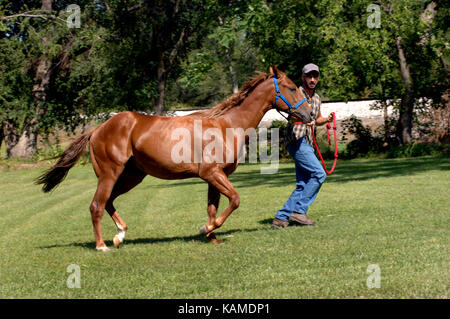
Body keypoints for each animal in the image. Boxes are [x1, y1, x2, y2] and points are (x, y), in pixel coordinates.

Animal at [36, 65, 312, 252]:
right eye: (291, 87)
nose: (310, 114)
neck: (226, 126)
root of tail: (96, 130)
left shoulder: (214, 177)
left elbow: (212, 208)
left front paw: (212, 236)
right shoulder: (212, 173)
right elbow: (234, 200)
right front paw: (205, 229)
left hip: (132, 176)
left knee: (108, 202)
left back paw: (120, 236)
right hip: (109, 174)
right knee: (96, 205)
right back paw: (102, 245)